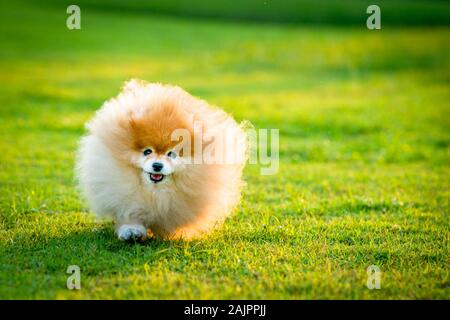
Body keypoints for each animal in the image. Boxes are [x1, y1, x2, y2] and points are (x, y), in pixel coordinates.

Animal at [76, 79, 248, 240]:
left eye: (171, 154)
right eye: (147, 151)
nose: (157, 165)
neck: (155, 192)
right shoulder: (126, 197)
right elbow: (130, 214)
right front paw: (131, 232)